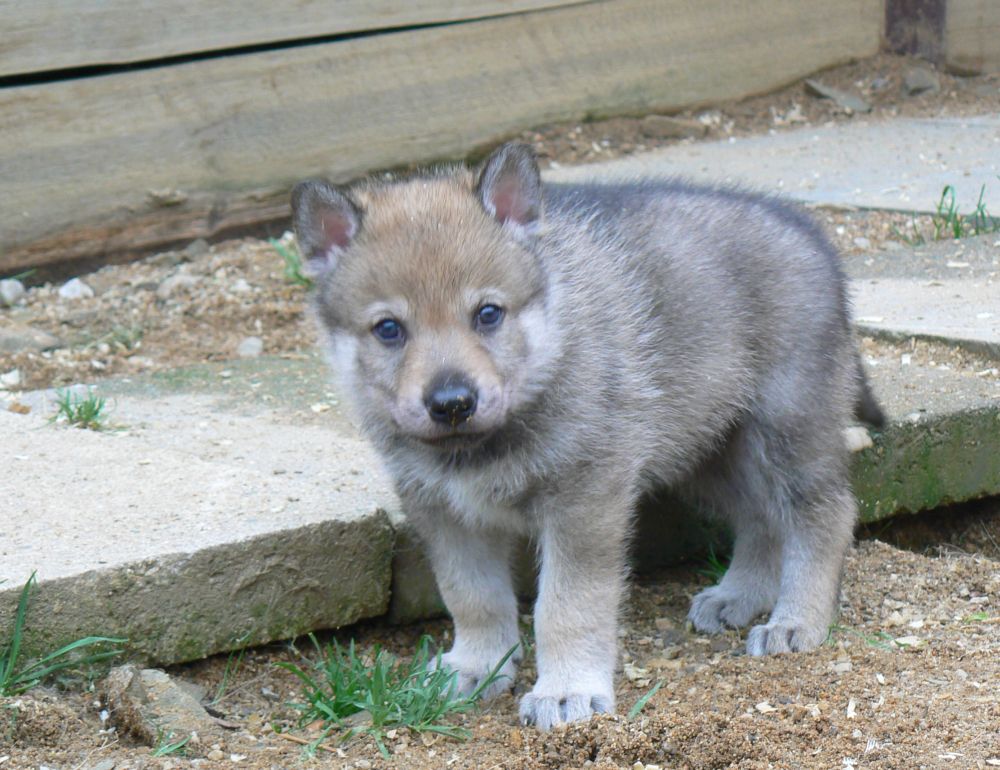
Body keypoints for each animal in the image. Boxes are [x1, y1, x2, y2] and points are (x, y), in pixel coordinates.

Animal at [292, 142, 884, 728]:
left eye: (488, 314)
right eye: (389, 329)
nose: (452, 403)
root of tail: (810, 236)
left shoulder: (583, 504)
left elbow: (565, 606)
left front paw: (566, 691)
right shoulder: (444, 512)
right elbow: (471, 595)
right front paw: (477, 664)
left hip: (787, 430)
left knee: (824, 514)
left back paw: (797, 621)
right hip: (708, 451)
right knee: (761, 517)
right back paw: (739, 595)